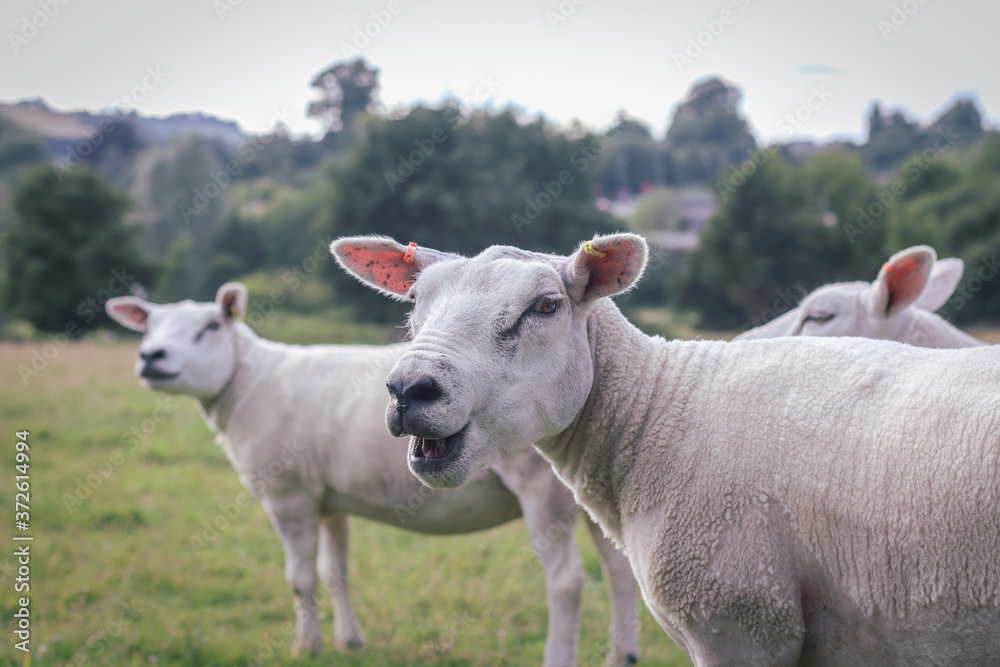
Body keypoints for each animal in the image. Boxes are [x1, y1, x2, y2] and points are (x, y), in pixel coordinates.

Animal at [105, 284, 640, 667]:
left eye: (211, 327)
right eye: (148, 329)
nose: (152, 358)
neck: (247, 384)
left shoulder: (290, 496)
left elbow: (300, 578)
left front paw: (306, 648)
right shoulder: (329, 499)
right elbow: (335, 572)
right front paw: (350, 642)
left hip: (542, 491)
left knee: (567, 582)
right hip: (595, 484)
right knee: (619, 571)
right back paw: (624, 655)